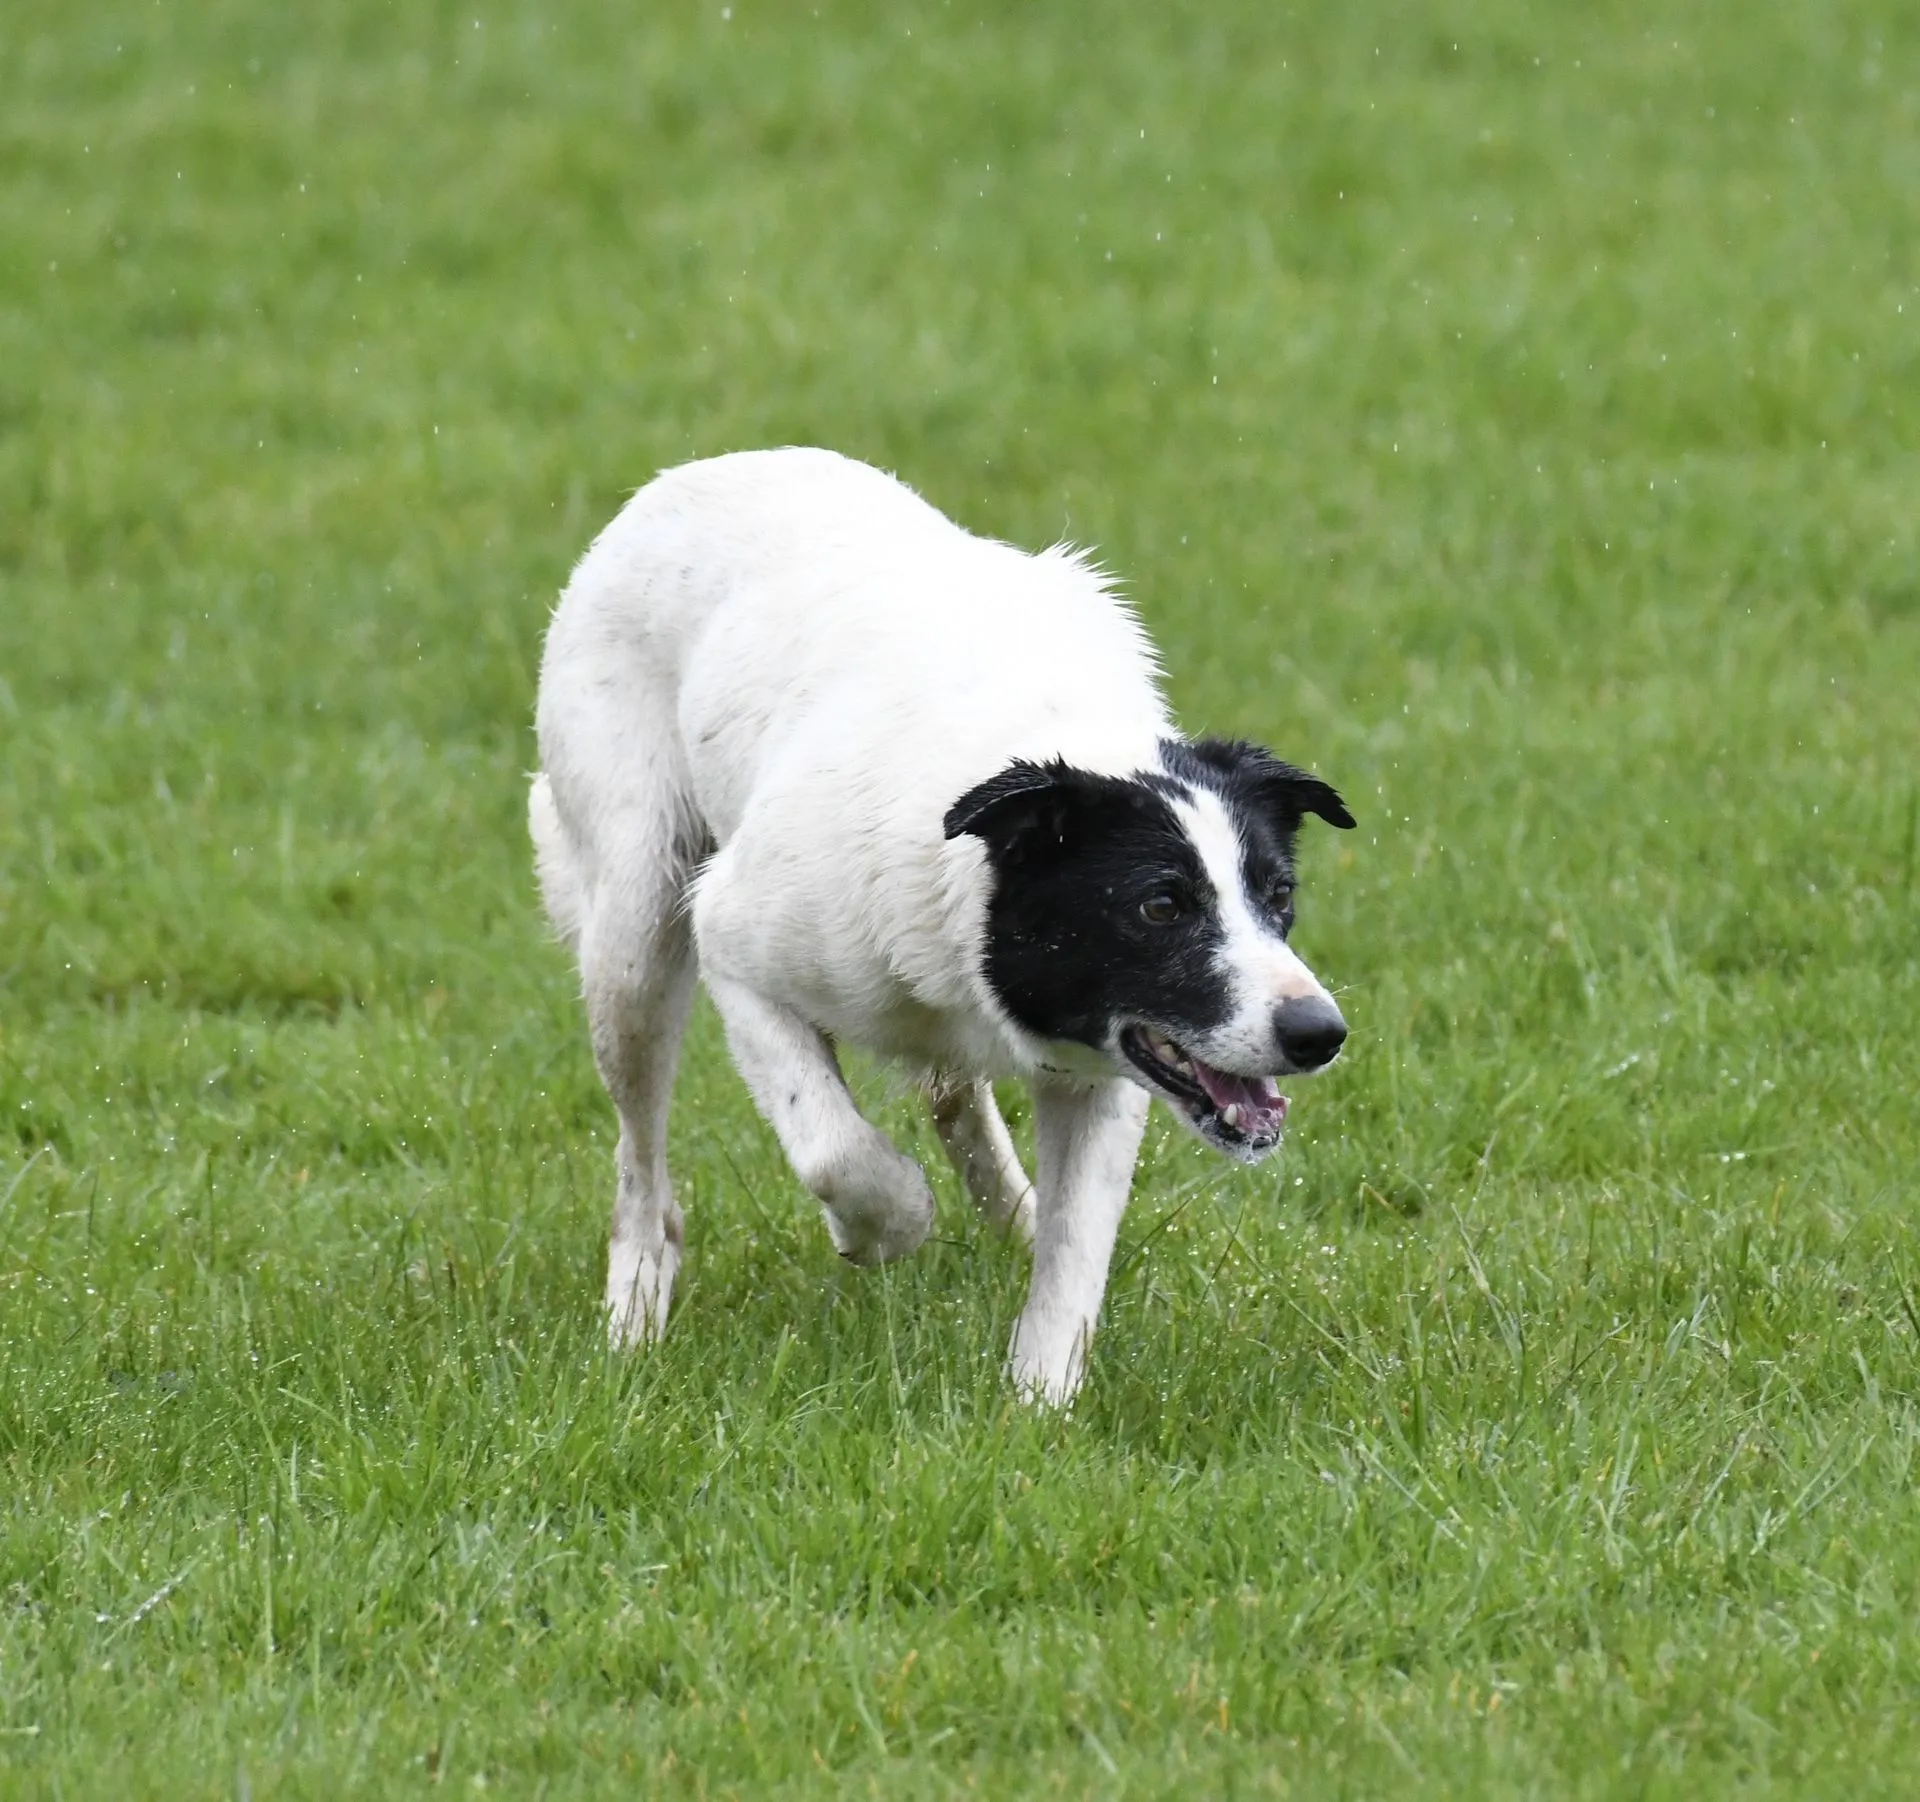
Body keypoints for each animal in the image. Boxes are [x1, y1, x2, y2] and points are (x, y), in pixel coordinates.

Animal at [530, 448, 1354, 1403]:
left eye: (1279, 896)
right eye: (1160, 907)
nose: (1319, 1033)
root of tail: (690, 473)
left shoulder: (1102, 1072)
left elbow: (1074, 1253)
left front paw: (1037, 1405)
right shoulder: (734, 941)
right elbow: (837, 1149)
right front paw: (882, 1227)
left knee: (952, 1096)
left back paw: (1014, 1220)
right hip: (636, 926)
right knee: (643, 1169)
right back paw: (633, 1318)